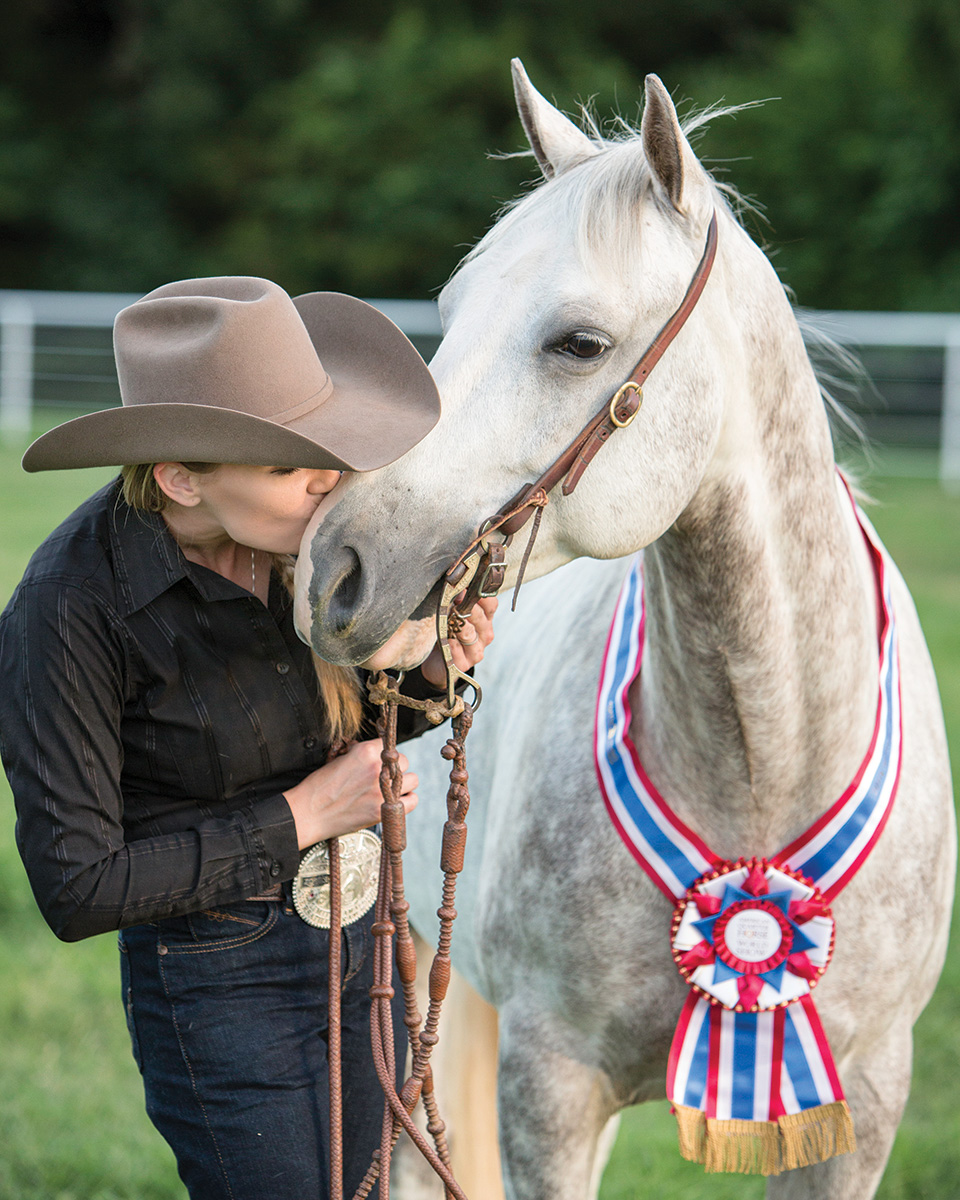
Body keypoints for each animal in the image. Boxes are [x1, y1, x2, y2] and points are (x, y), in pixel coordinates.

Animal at [296, 63, 955, 1200]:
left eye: (581, 344)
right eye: (450, 312)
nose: (334, 567)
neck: (763, 771)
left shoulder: (862, 1105)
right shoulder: (549, 1086)